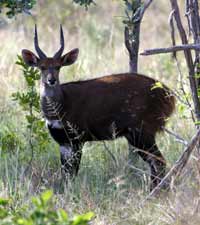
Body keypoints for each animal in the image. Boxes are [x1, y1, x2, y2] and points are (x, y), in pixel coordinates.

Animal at [21, 24, 175, 190]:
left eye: (58, 67)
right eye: (42, 67)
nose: (51, 80)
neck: (61, 107)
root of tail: (169, 96)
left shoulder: (77, 139)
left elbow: (72, 173)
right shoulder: (63, 142)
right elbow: (65, 174)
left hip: (143, 131)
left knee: (159, 161)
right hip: (135, 135)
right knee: (155, 162)